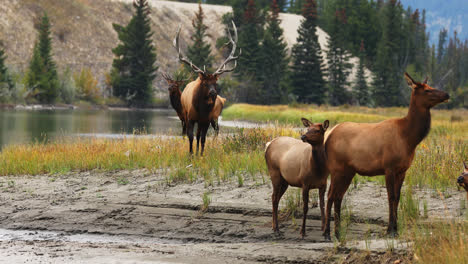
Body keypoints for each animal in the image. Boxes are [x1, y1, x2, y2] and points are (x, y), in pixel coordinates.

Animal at [176, 22, 241, 155]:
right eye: (205, 83)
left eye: (216, 83)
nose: (213, 92)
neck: (202, 109)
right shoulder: (190, 118)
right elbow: (190, 136)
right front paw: (190, 154)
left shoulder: (206, 120)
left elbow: (203, 138)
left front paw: (200, 155)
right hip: (186, 114)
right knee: (194, 134)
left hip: (211, 118)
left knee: (202, 134)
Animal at [322, 72, 450, 239]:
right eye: (427, 90)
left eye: (430, 86)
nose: (447, 94)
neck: (409, 138)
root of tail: (328, 136)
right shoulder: (389, 167)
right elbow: (391, 197)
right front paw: (390, 230)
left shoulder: (402, 170)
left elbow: (398, 197)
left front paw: (395, 228)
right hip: (336, 168)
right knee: (331, 195)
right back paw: (326, 233)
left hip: (348, 171)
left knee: (338, 196)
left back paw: (338, 233)